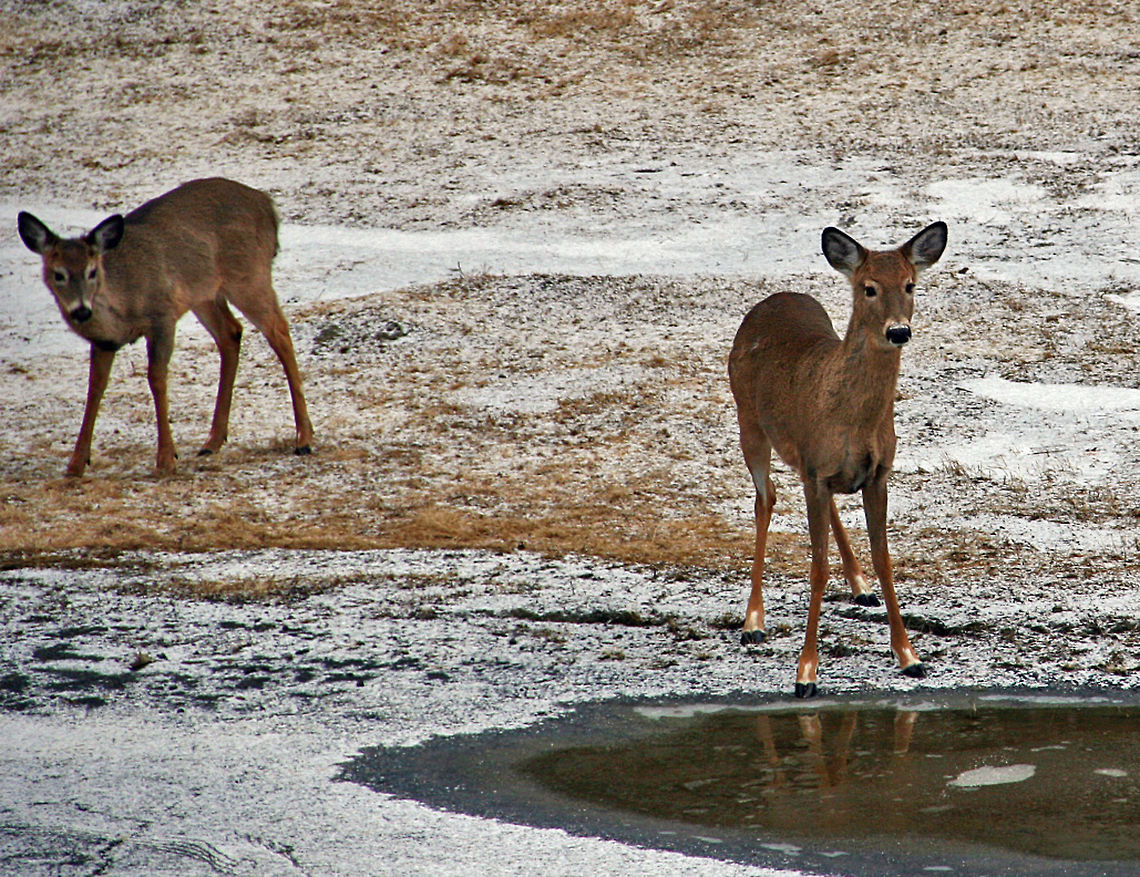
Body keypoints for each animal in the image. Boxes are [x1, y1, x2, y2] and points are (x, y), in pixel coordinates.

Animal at [17, 177, 313, 477]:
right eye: (58, 274)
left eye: (92, 271)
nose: (80, 311)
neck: (124, 302)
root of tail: (267, 204)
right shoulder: (103, 341)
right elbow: (95, 387)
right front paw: (76, 463)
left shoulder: (162, 317)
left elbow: (157, 379)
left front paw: (166, 458)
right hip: (203, 293)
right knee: (231, 333)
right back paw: (213, 441)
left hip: (248, 275)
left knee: (279, 331)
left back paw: (304, 438)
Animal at [728, 221, 947, 698]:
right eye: (869, 288)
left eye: (910, 285)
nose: (898, 331)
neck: (852, 420)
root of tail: (773, 299)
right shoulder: (817, 471)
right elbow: (816, 568)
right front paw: (806, 673)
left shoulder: (876, 474)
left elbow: (885, 560)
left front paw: (909, 656)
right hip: (749, 422)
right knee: (765, 499)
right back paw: (753, 620)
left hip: (803, 456)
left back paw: (860, 586)